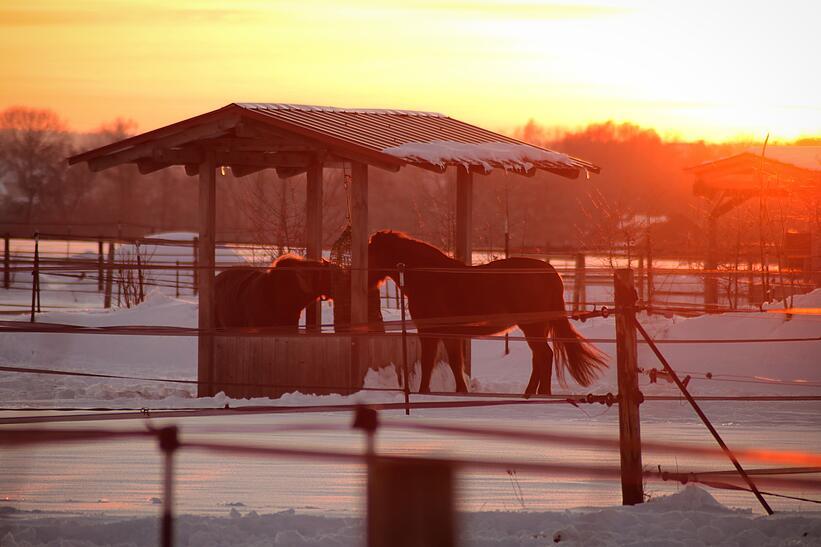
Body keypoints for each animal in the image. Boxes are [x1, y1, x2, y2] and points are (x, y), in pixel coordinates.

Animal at [368, 233, 604, 396]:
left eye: (371, 252)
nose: (367, 280)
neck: (430, 277)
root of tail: (551, 273)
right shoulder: (450, 333)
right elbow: (456, 364)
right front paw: (461, 392)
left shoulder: (429, 331)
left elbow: (428, 362)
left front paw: (424, 392)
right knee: (539, 358)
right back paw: (530, 393)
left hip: (533, 327)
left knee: (544, 356)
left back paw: (541, 394)